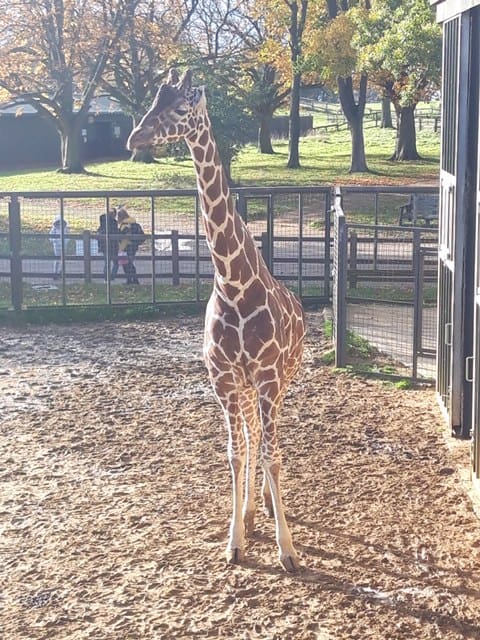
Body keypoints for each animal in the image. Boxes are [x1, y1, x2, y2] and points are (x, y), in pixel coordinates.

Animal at [127, 69, 306, 568]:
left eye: (182, 106)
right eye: (152, 101)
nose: (135, 137)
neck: (234, 283)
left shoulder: (267, 374)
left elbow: (271, 455)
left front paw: (287, 550)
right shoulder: (223, 376)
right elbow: (236, 452)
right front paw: (235, 541)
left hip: (281, 380)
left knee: (270, 439)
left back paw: (266, 507)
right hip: (245, 386)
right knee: (251, 435)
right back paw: (250, 512)